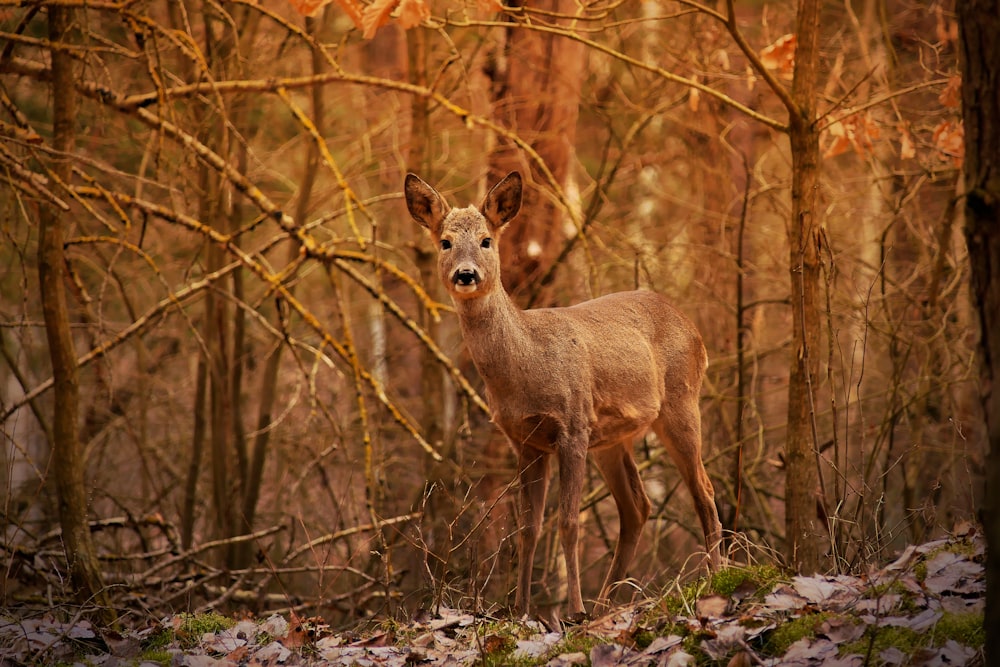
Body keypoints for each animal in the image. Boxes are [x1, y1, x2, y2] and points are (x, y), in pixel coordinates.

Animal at [402, 170, 724, 620]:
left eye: (486, 240)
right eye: (445, 241)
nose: (466, 275)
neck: (527, 366)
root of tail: (694, 330)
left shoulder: (571, 426)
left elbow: (568, 522)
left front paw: (572, 610)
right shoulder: (525, 441)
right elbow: (527, 528)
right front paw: (519, 610)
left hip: (680, 403)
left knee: (704, 491)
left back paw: (714, 578)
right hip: (611, 437)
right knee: (637, 507)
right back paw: (607, 601)